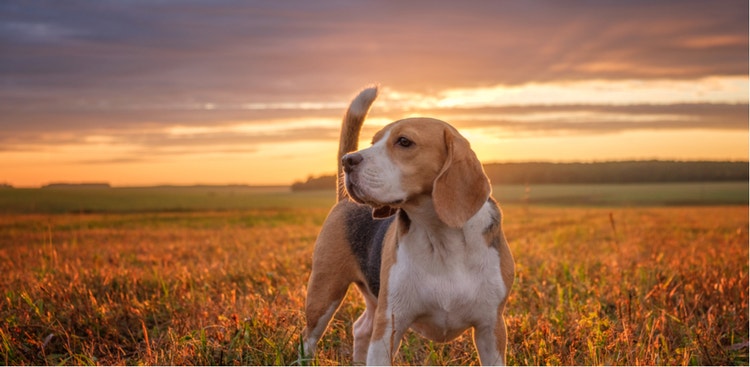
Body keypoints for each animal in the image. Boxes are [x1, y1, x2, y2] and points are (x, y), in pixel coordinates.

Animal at [302, 86, 516, 366]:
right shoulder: (389, 325)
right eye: (373, 142)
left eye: (404, 142)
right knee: (309, 338)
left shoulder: (491, 328)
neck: (440, 236)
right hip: (324, 292)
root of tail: (345, 200)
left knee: (361, 328)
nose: (347, 161)